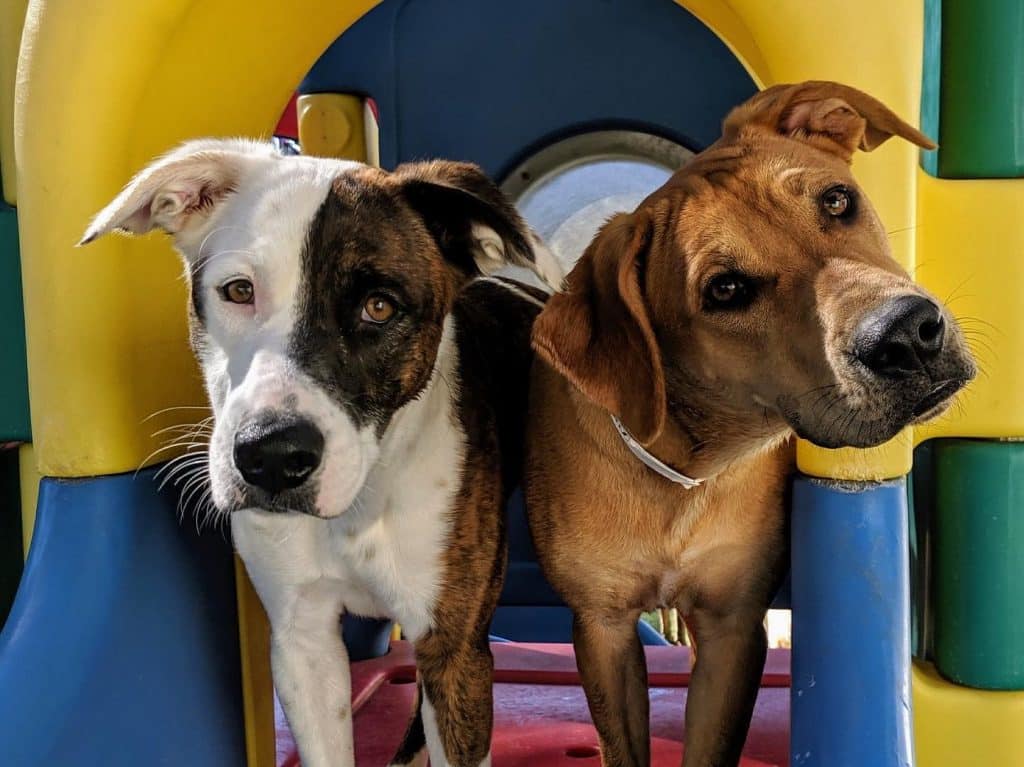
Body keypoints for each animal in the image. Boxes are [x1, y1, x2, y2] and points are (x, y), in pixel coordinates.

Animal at [81, 139, 561, 765]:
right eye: (238, 291)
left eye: (379, 307)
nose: (271, 457)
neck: (362, 503)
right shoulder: (302, 642)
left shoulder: (454, 649)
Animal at [528, 80, 974, 761]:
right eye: (727, 290)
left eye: (837, 200)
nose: (907, 335)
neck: (684, 470)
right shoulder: (602, 629)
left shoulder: (733, 625)